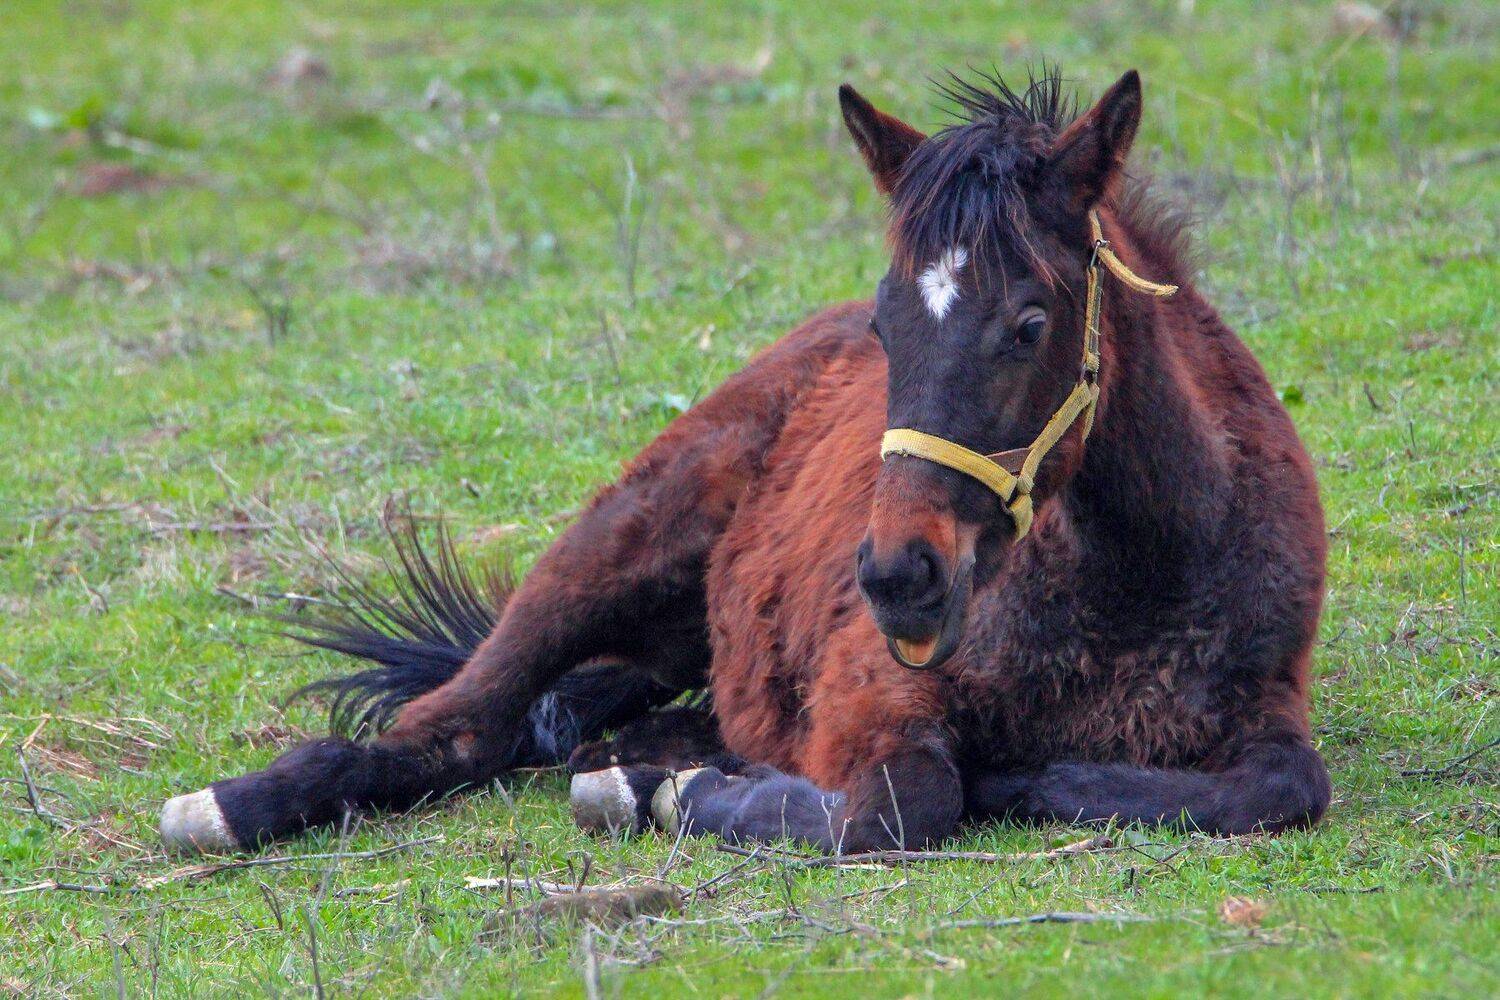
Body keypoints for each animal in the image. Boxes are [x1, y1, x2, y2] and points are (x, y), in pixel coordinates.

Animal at [160, 67, 1331, 855]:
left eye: (1030, 323)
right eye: (888, 322)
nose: (898, 575)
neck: (1137, 575)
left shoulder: (1268, 712)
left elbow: (1281, 788)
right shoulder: (874, 696)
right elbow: (902, 804)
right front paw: (677, 797)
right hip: (617, 543)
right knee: (452, 728)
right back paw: (230, 808)